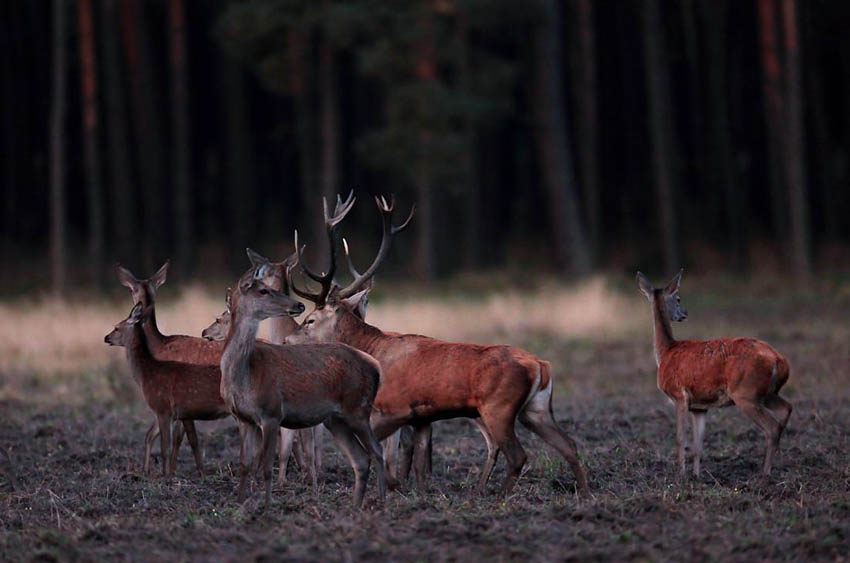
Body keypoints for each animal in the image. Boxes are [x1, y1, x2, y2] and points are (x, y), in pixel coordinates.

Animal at [222, 260, 388, 512]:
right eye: (263, 291)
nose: (298, 304)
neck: (244, 374)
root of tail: (375, 366)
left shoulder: (271, 413)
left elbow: (266, 466)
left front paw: (268, 507)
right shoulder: (243, 418)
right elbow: (245, 464)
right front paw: (241, 503)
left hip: (358, 410)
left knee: (377, 451)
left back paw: (381, 504)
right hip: (335, 419)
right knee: (360, 458)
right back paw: (354, 507)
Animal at [282, 196, 588, 496]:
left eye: (310, 320)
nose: (286, 341)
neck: (373, 351)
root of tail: (540, 365)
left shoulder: (394, 407)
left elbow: (382, 454)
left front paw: (392, 486)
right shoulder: (421, 418)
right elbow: (418, 465)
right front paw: (416, 493)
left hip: (498, 407)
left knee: (518, 455)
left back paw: (497, 496)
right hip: (536, 409)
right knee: (569, 445)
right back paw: (583, 494)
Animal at [636, 270, 788, 478]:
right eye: (678, 299)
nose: (685, 313)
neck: (666, 351)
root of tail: (778, 359)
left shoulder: (679, 395)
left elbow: (680, 439)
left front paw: (681, 475)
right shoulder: (699, 407)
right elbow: (698, 445)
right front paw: (696, 475)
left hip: (746, 393)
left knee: (772, 427)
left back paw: (765, 474)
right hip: (767, 393)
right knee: (786, 410)